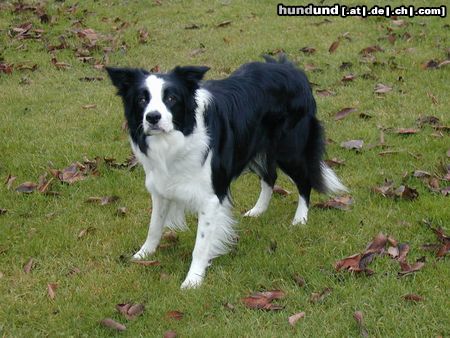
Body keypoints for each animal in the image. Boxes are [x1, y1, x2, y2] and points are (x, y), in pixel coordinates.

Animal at [107, 54, 346, 288]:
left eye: (171, 99)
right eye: (142, 99)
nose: (153, 117)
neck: (178, 138)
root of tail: (292, 69)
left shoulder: (211, 196)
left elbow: (201, 244)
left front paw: (193, 280)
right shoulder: (161, 186)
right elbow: (154, 226)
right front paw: (143, 254)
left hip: (290, 150)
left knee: (304, 181)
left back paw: (300, 219)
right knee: (270, 176)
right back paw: (258, 210)